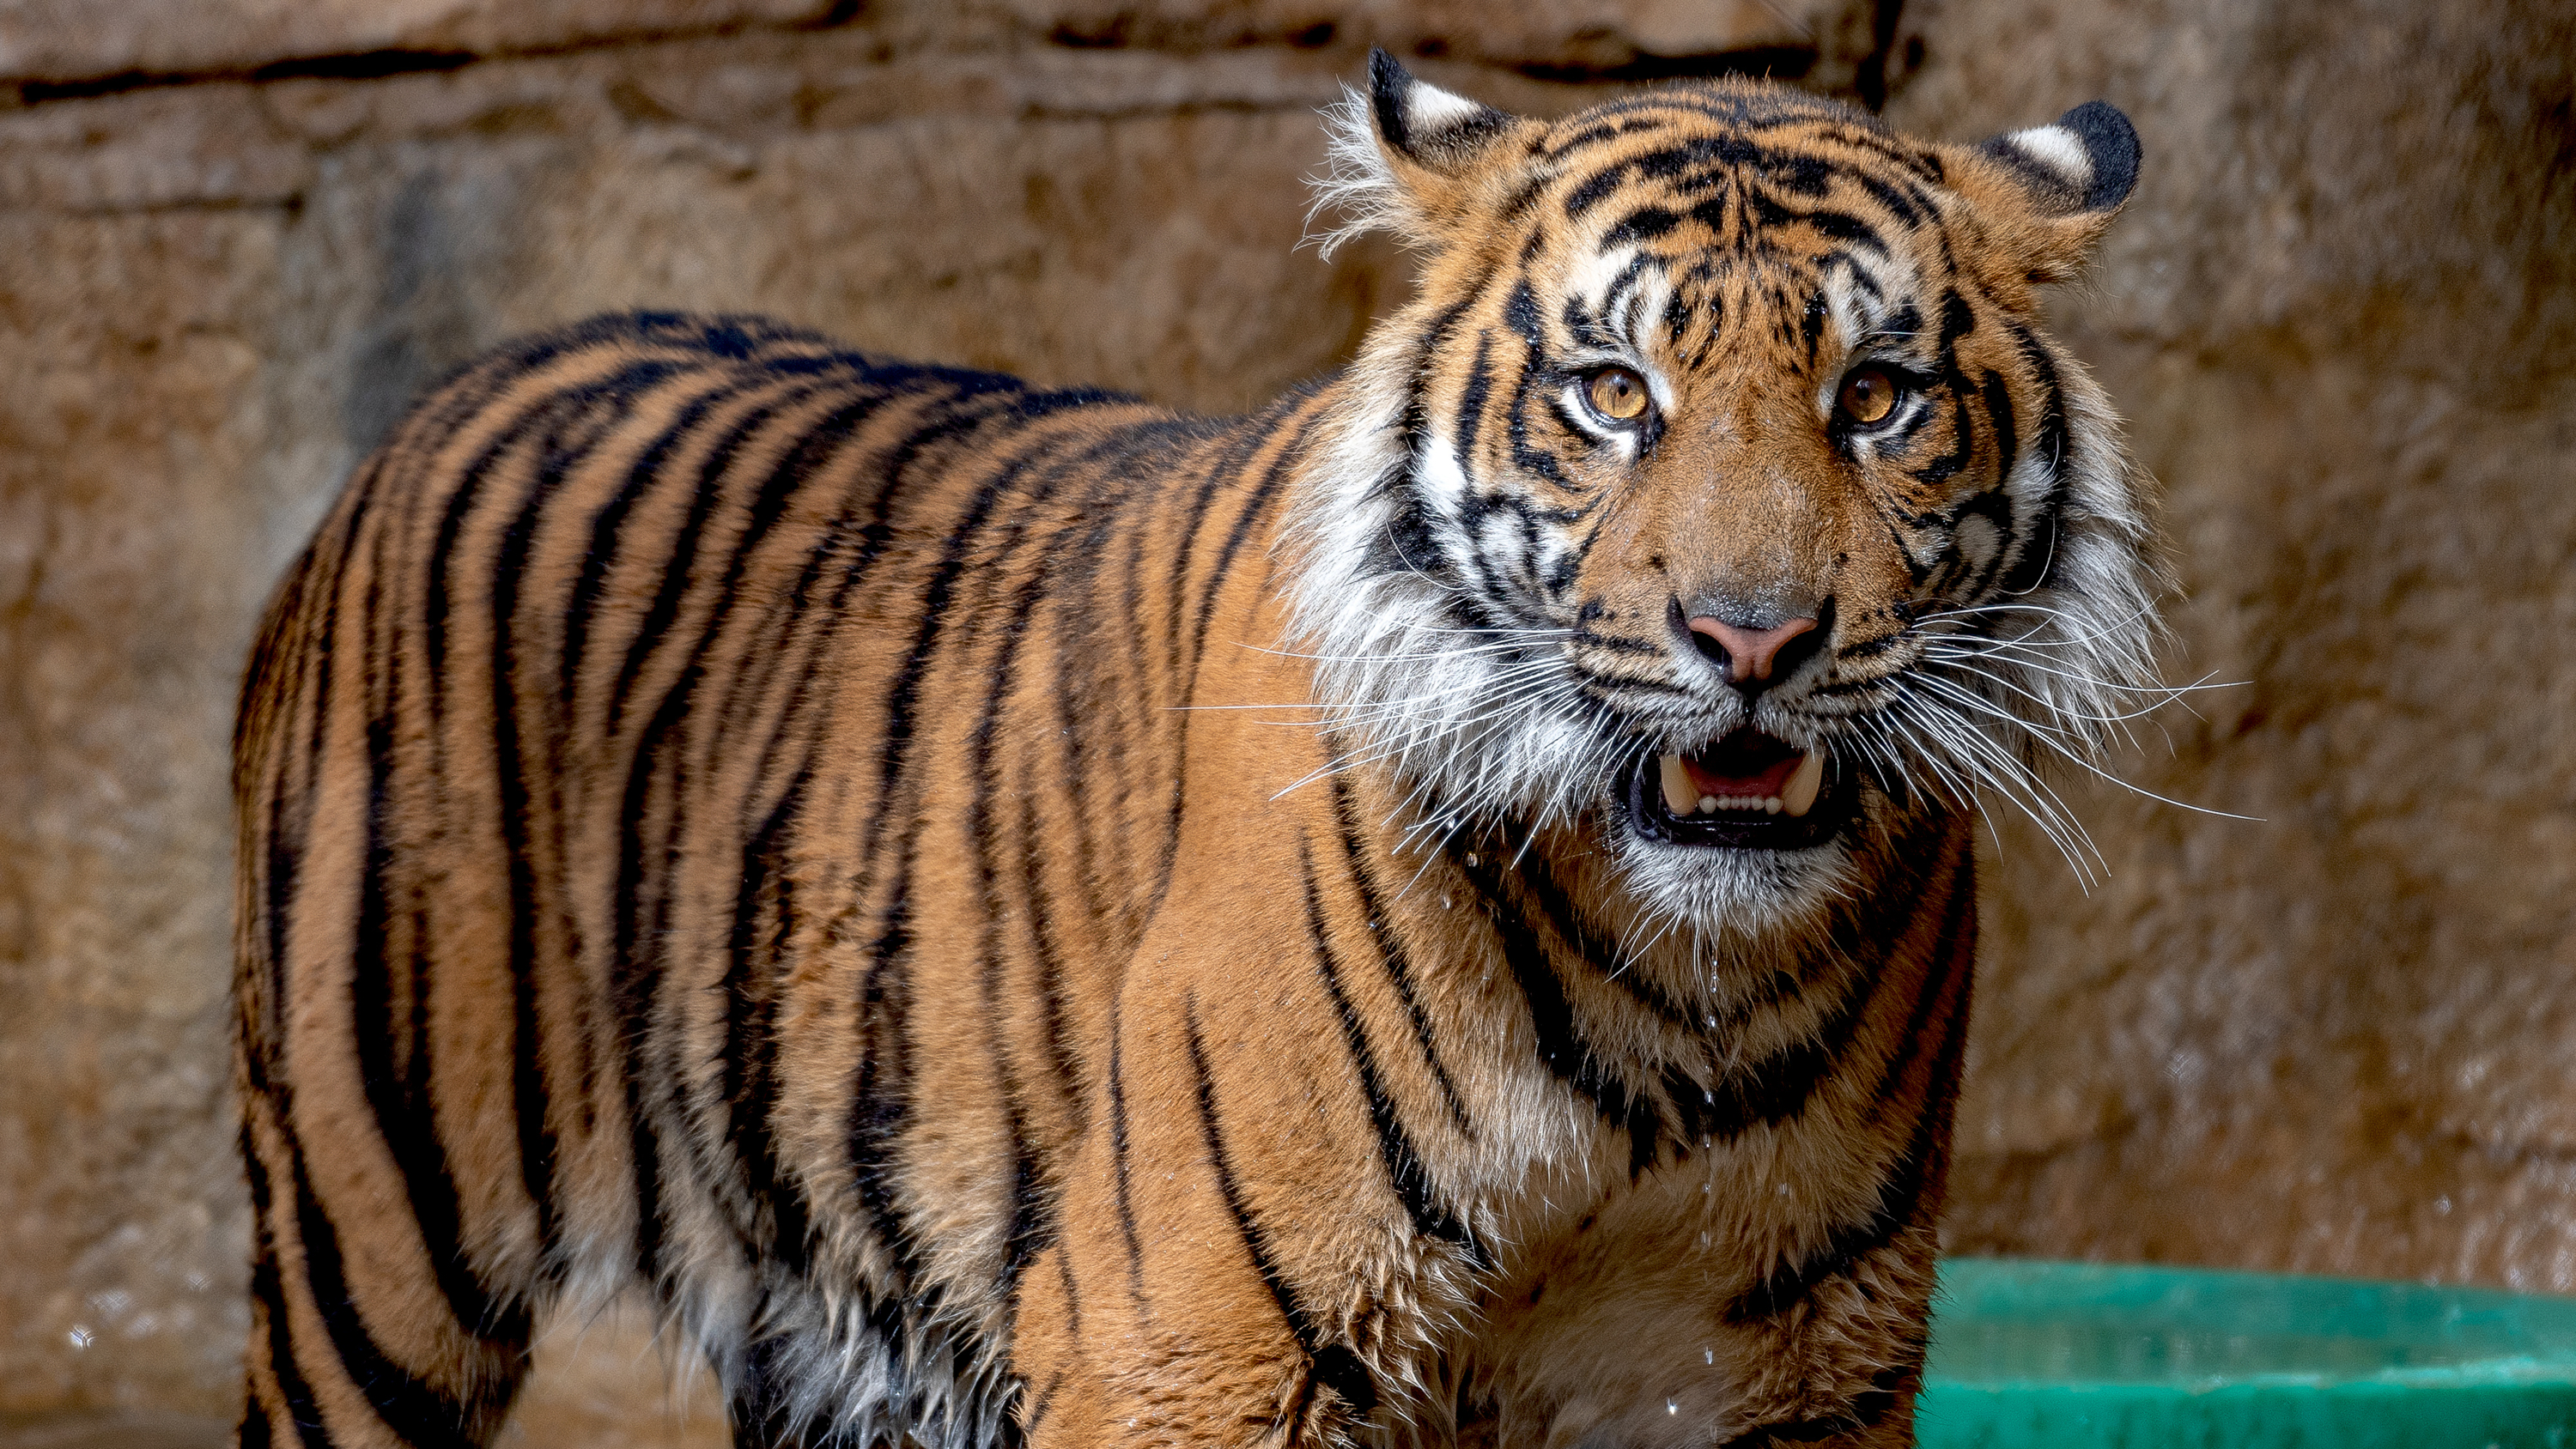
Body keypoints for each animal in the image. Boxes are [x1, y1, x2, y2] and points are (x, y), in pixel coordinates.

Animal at [237, 51, 2154, 1449]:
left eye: (1877, 398)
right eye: (1615, 393)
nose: (1752, 640)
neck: (1681, 983)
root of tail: (471, 384)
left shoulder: (1789, 1371)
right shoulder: (1190, 1341)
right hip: (370, 1253)